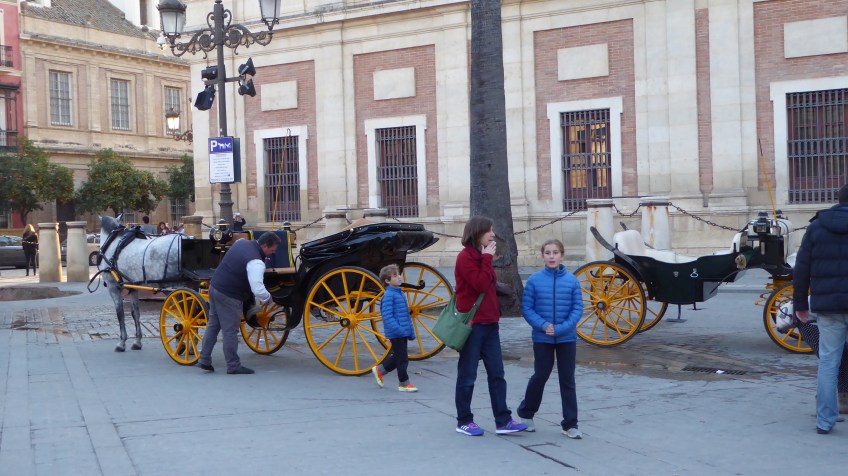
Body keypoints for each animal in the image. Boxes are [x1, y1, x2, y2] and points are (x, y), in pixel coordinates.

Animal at [98, 215, 183, 352]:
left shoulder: (112, 286)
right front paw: (137, 341)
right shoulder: (132, 287)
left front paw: (122, 342)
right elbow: (135, 313)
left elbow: (120, 313)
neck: (114, 242)